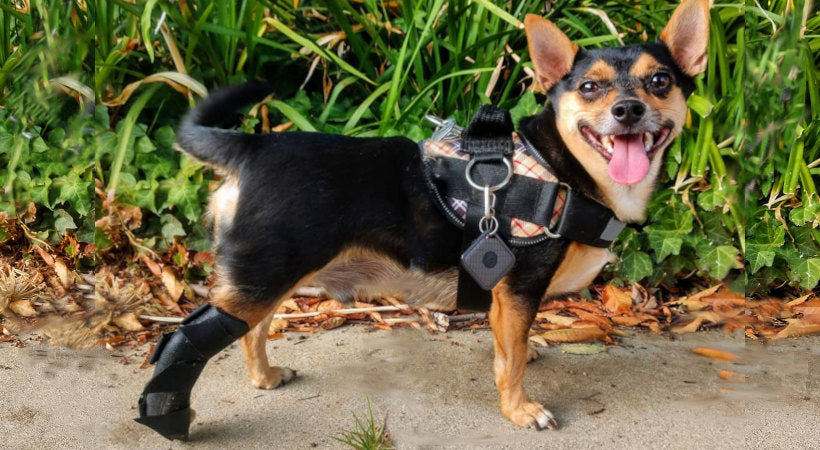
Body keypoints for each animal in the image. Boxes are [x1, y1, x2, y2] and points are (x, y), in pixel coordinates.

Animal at [138, 0, 708, 438]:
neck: (563, 167)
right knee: (189, 337)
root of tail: (250, 147)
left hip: (270, 276)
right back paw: (168, 416)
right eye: (590, 88)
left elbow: (509, 346)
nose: (628, 110)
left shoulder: (506, 298)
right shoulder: (520, 286)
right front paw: (519, 410)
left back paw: (265, 377)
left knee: (252, 331)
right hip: (264, 274)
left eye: (660, 81)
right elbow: (511, 360)